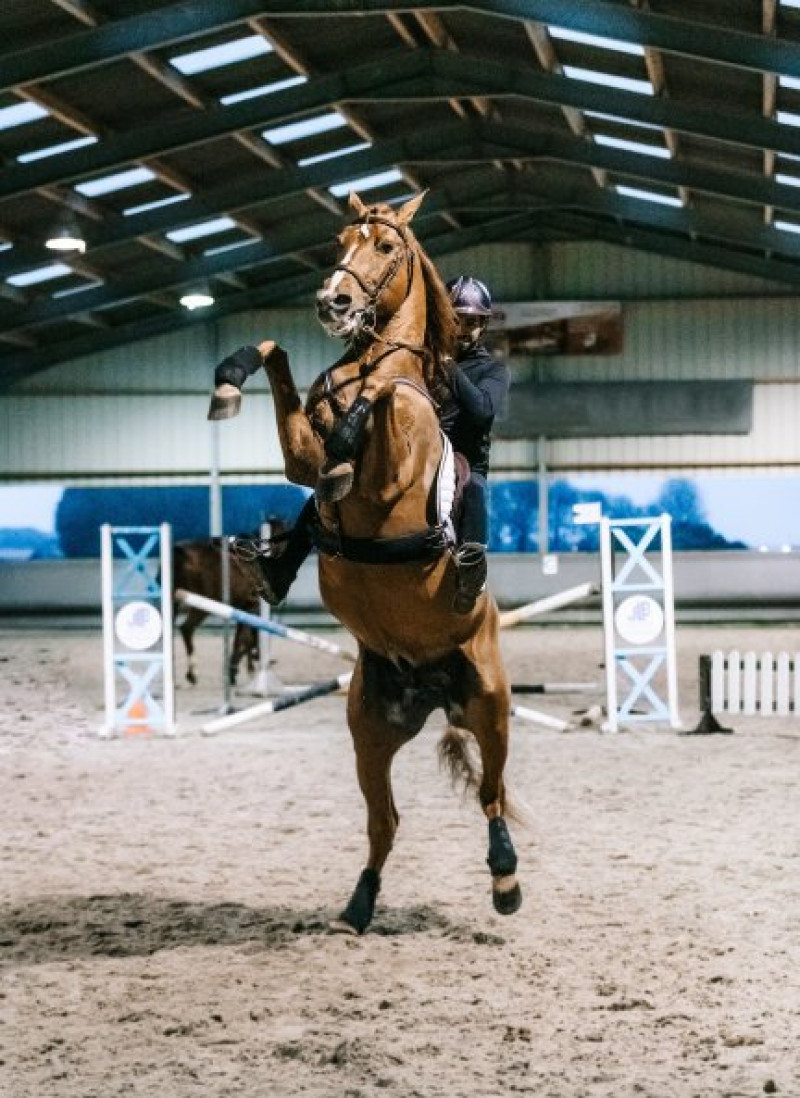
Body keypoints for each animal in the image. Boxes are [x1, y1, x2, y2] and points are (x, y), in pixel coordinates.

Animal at [209, 193, 520, 931]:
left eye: (386, 247)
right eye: (341, 239)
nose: (333, 301)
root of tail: (432, 687)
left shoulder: (392, 470)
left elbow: (384, 396)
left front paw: (353, 435)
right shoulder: (301, 454)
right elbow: (275, 356)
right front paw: (227, 385)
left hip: (491, 703)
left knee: (492, 793)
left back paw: (506, 879)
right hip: (369, 731)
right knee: (386, 821)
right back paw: (358, 904)